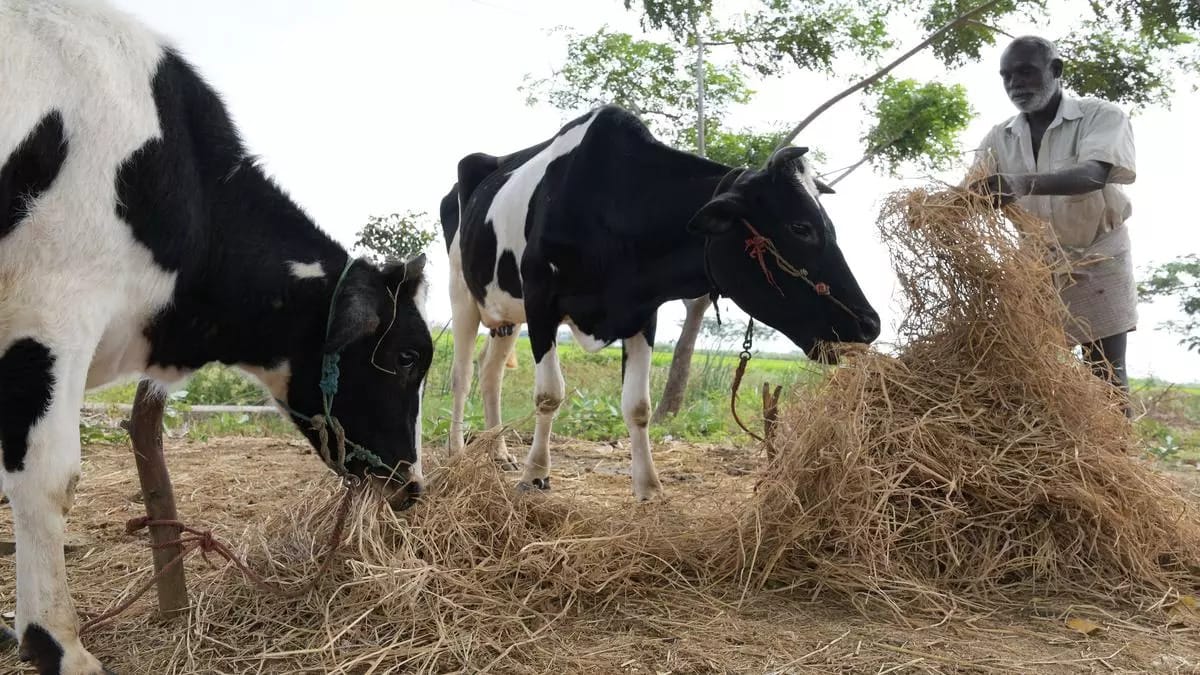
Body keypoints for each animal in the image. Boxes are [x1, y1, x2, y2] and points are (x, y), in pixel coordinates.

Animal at [441, 106, 883, 499]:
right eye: (801, 226)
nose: (870, 323)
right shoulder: (541, 302)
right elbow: (549, 394)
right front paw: (536, 475)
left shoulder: (641, 311)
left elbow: (638, 405)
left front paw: (648, 488)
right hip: (461, 293)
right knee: (462, 375)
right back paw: (457, 453)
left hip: (504, 312)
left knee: (491, 373)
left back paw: (498, 452)